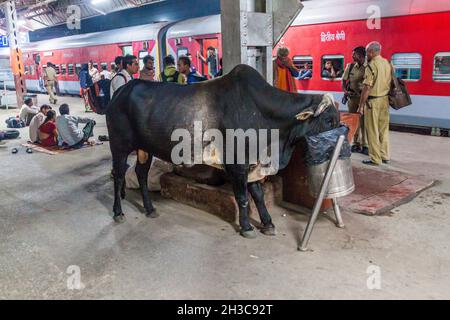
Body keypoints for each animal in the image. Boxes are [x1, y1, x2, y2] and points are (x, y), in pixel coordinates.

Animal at [105, 65, 338, 239]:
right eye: (329, 120)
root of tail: (121, 91)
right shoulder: (237, 164)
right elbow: (243, 197)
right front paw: (247, 227)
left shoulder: (252, 164)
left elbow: (258, 195)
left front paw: (268, 224)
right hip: (119, 146)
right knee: (118, 176)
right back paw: (118, 212)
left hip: (145, 148)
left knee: (141, 174)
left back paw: (150, 208)